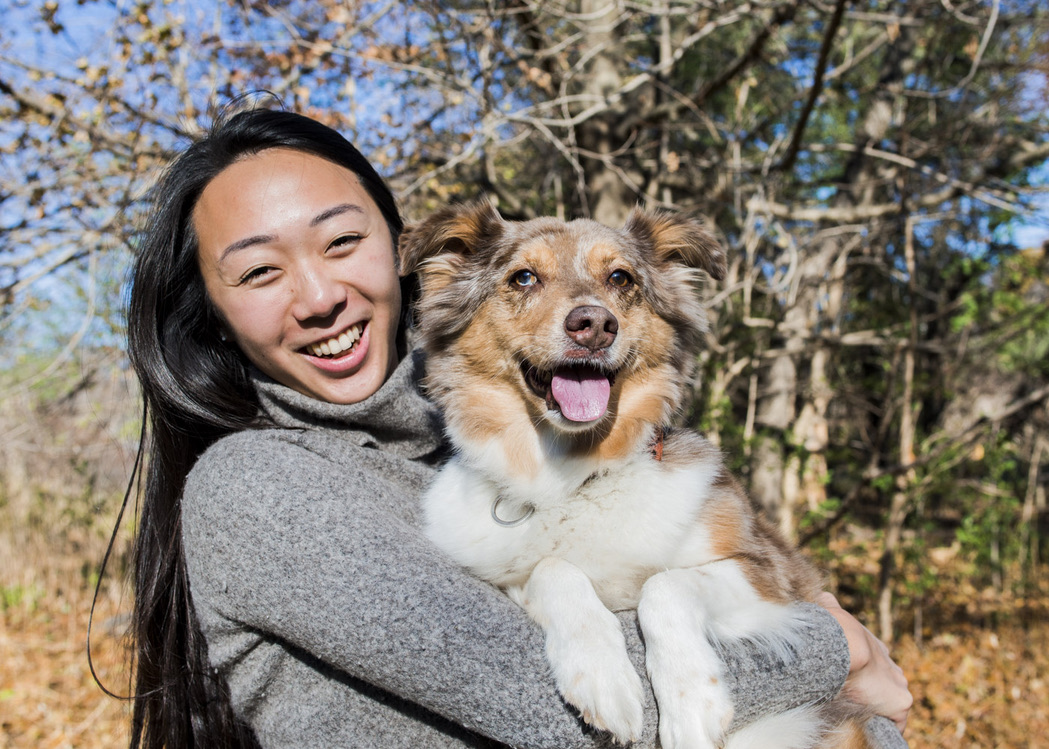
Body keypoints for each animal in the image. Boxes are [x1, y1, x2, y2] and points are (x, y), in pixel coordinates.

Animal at [396, 198, 872, 746]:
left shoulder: (767, 574)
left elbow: (664, 586)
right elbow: (551, 568)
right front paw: (604, 677)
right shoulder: (501, 575)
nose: (594, 325)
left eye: (620, 277)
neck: (573, 474)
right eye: (524, 278)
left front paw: (693, 705)